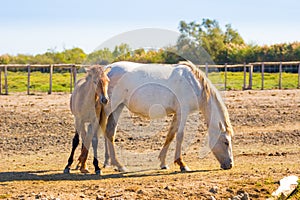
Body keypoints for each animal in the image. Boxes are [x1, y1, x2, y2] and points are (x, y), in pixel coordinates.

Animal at [103, 61, 234, 172]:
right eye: (226, 142)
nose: (230, 164)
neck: (193, 83)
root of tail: (107, 69)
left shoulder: (177, 114)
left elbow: (170, 135)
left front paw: (163, 163)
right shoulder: (183, 112)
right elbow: (180, 136)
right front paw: (182, 164)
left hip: (118, 107)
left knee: (110, 132)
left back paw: (117, 165)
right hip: (108, 108)